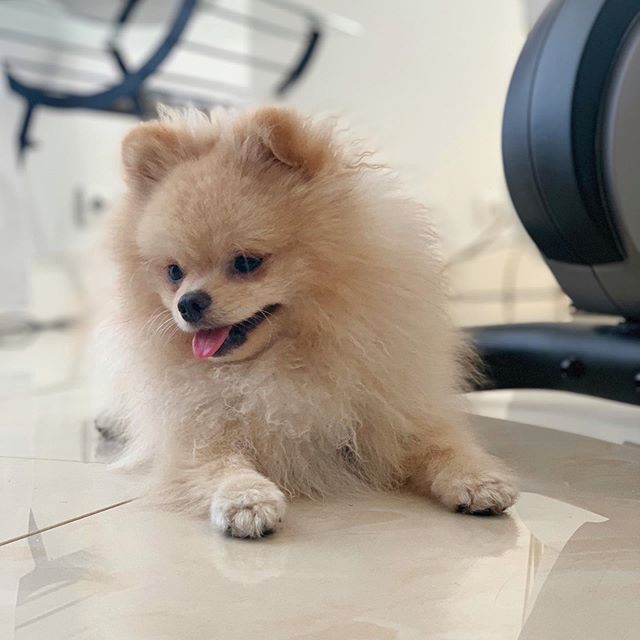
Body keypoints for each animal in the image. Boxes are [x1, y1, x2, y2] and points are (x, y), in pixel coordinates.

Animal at [97, 105, 516, 536]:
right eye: (174, 272)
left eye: (246, 262)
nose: (188, 303)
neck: (283, 364)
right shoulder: (197, 435)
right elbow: (221, 465)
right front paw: (246, 498)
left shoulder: (394, 412)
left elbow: (441, 444)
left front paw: (477, 479)